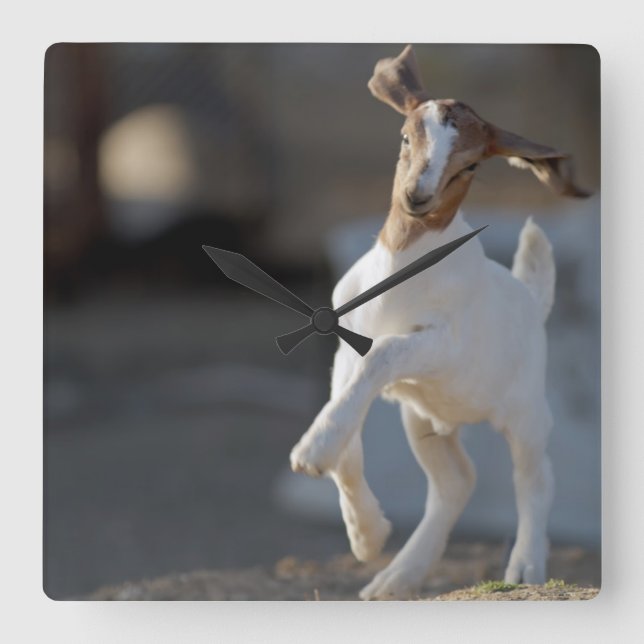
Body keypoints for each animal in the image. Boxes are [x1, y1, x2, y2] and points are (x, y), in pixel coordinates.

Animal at [289, 45, 588, 600]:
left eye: (469, 164)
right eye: (406, 137)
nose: (416, 198)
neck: (402, 267)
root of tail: (531, 298)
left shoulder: (438, 344)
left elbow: (384, 353)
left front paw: (312, 452)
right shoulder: (345, 347)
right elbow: (349, 437)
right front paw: (366, 534)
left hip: (525, 411)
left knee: (535, 475)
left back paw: (524, 566)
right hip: (423, 417)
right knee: (456, 481)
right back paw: (394, 577)